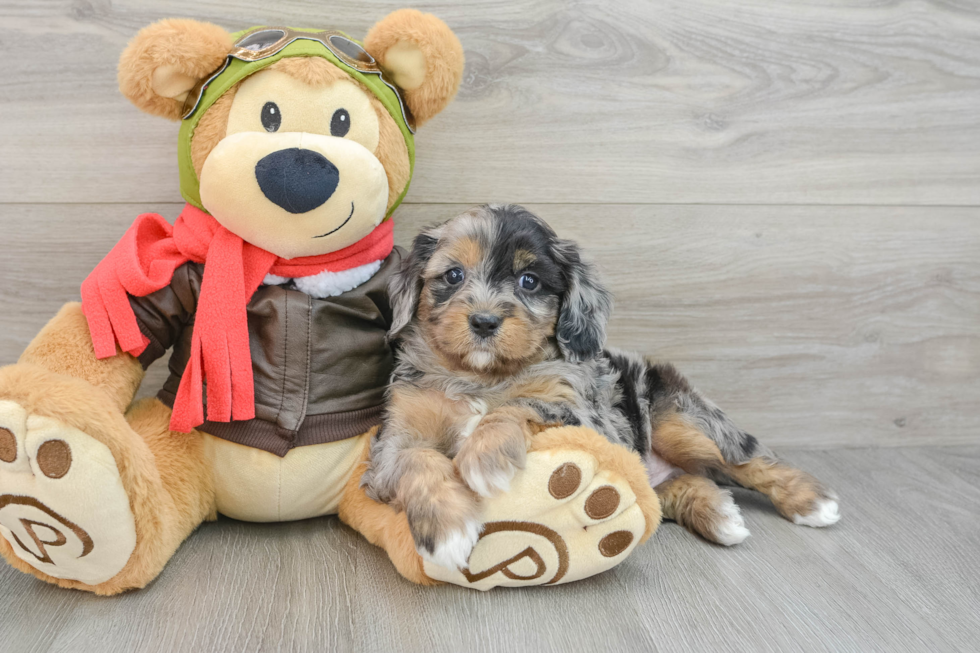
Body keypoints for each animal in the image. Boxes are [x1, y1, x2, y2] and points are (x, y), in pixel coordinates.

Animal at [364, 205, 840, 572]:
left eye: (529, 281)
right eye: (453, 275)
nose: (484, 321)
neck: (481, 376)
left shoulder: (582, 414)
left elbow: (521, 403)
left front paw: (485, 457)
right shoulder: (391, 441)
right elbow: (416, 459)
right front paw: (448, 531)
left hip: (680, 420)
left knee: (749, 458)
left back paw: (812, 502)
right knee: (671, 490)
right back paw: (719, 514)